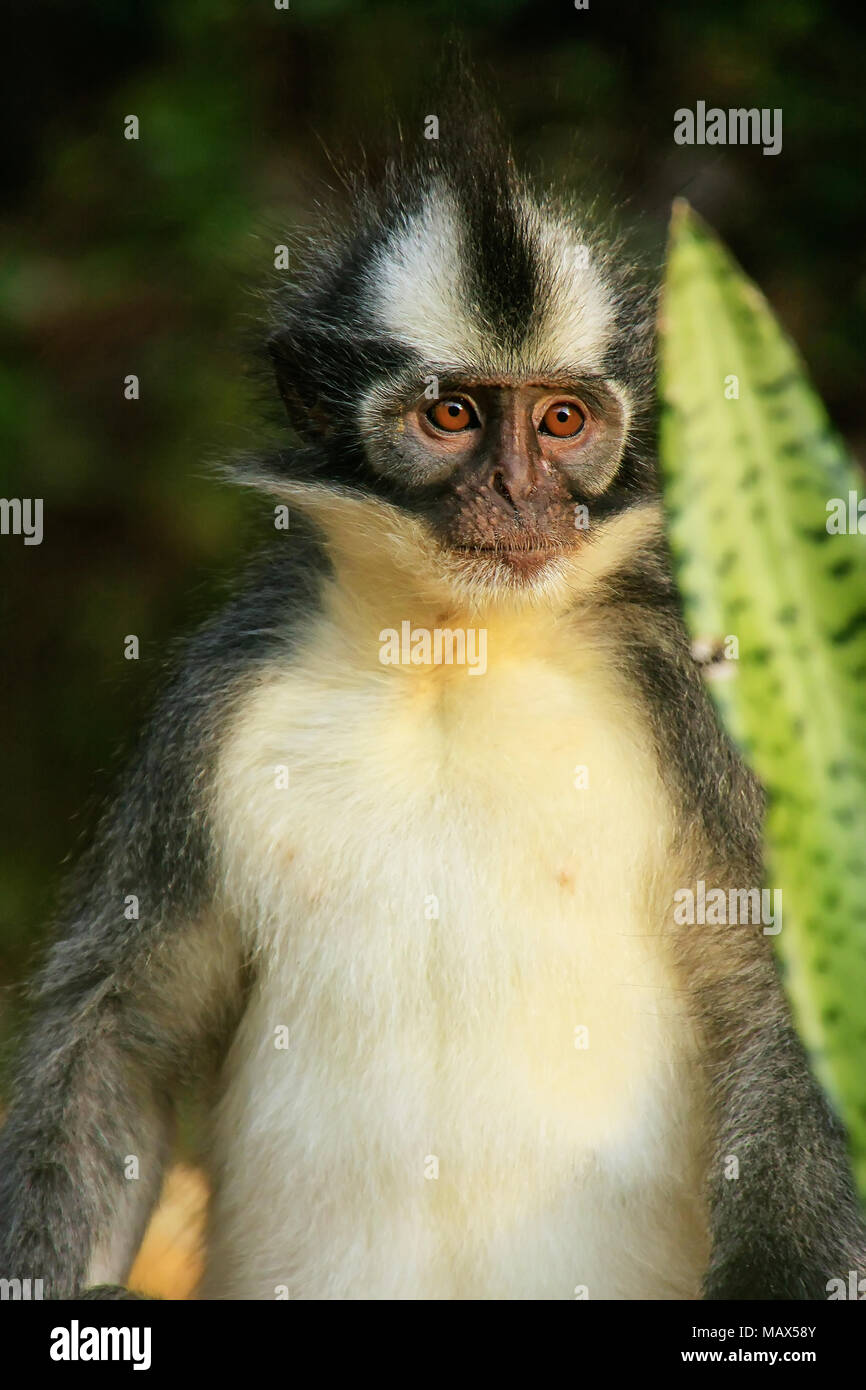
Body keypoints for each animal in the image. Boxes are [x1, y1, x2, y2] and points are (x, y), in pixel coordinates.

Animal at [1, 113, 864, 1303]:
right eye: (451, 415)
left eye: (561, 420)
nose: (519, 495)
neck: (454, 649)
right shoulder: (216, 696)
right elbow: (125, 1025)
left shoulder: (686, 685)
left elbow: (792, 994)